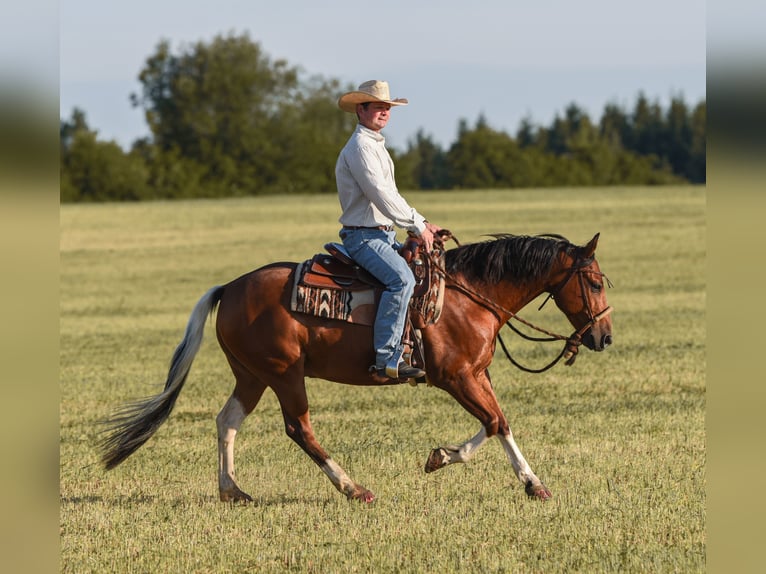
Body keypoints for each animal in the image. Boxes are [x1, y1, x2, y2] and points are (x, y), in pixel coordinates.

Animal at [101, 232, 612, 503]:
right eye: (592, 282)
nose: (604, 337)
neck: (468, 297)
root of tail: (229, 288)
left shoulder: (477, 374)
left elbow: (497, 422)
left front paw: (455, 460)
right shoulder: (456, 378)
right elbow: (493, 422)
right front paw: (521, 480)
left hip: (252, 375)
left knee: (227, 421)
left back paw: (233, 490)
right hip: (285, 374)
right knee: (299, 428)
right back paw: (352, 487)